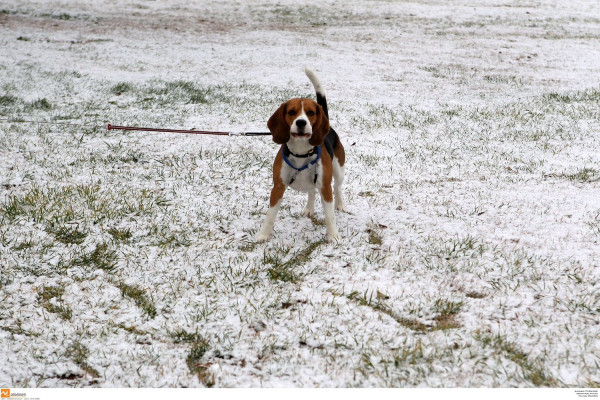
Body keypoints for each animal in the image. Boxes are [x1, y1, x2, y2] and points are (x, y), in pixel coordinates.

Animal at [254, 69, 346, 242]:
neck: (301, 152)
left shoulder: (325, 187)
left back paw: (340, 205)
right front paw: (263, 235)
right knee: (312, 192)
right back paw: (309, 208)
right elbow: (270, 215)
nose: (301, 122)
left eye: (310, 113)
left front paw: (333, 236)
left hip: (338, 171)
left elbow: (330, 215)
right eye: (291, 112)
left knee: (337, 187)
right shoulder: (278, 187)